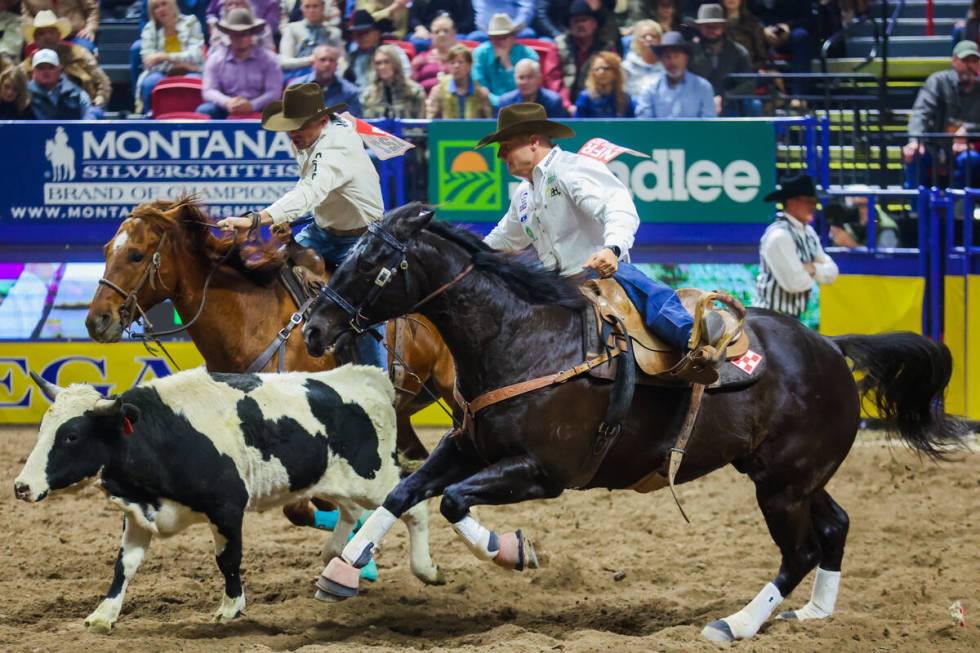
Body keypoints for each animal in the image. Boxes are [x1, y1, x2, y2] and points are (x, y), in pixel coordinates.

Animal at [300, 205, 964, 640]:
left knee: (799, 550)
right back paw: (817, 617)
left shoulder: (543, 473)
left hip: (782, 484)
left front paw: (511, 550)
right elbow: (405, 491)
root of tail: (830, 346)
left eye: (374, 261)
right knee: (835, 526)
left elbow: (453, 502)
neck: (523, 335)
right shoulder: (467, 445)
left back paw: (736, 623)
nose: (313, 330)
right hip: (792, 475)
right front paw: (341, 570)